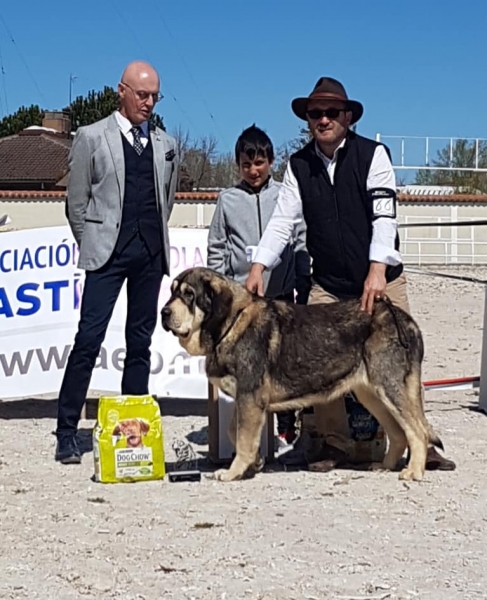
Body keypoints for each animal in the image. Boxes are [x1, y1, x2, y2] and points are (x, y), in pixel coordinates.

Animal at [162, 268, 444, 482]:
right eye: (172, 291)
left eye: (189, 295)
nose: (164, 313)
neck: (230, 324)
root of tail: (405, 320)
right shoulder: (247, 399)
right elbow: (236, 433)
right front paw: (256, 461)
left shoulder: (250, 397)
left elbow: (242, 438)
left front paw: (233, 472)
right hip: (371, 394)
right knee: (399, 433)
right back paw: (384, 466)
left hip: (390, 387)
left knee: (417, 431)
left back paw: (413, 471)